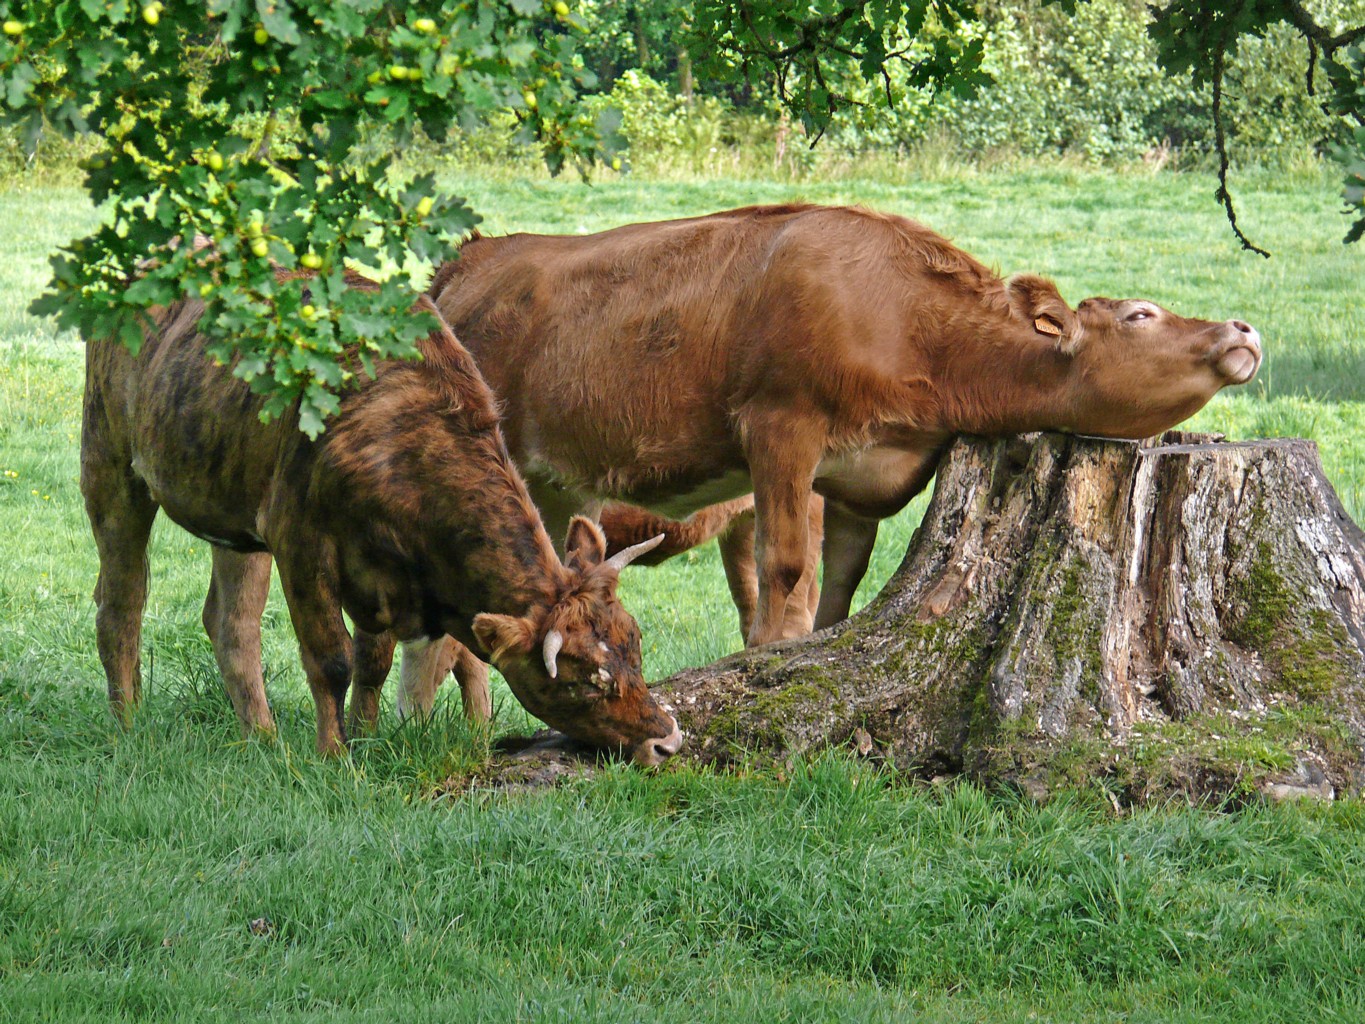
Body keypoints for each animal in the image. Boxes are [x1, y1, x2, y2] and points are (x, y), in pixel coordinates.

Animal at [81, 277, 682, 764]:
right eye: (584, 681)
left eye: (635, 647)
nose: (667, 741)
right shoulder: (301, 541)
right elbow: (331, 659)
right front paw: (335, 757)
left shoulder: (382, 572)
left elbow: (373, 660)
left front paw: (367, 740)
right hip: (109, 465)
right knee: (121, 605)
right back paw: (128, 723)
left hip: (233, 517)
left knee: (231, 624)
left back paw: (263, 737)